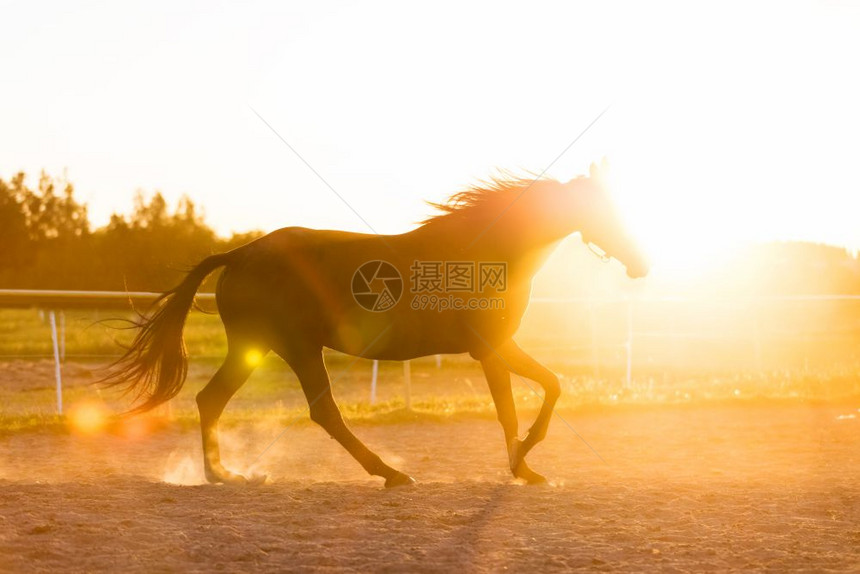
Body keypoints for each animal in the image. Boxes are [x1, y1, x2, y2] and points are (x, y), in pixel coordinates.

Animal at [101, 161, 648, 486]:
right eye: (602, 208)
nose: (643, 264)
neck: (484, 253)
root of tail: (240, 254)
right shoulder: (491, 348)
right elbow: (526, 402)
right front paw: (525, 462)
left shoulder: (497, 349)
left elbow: (537, 394)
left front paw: (526, 464)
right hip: (295, 347)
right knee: (323, 413)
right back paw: (388, 473)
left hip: (253, 347)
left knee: (210, 399)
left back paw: (224, 474)